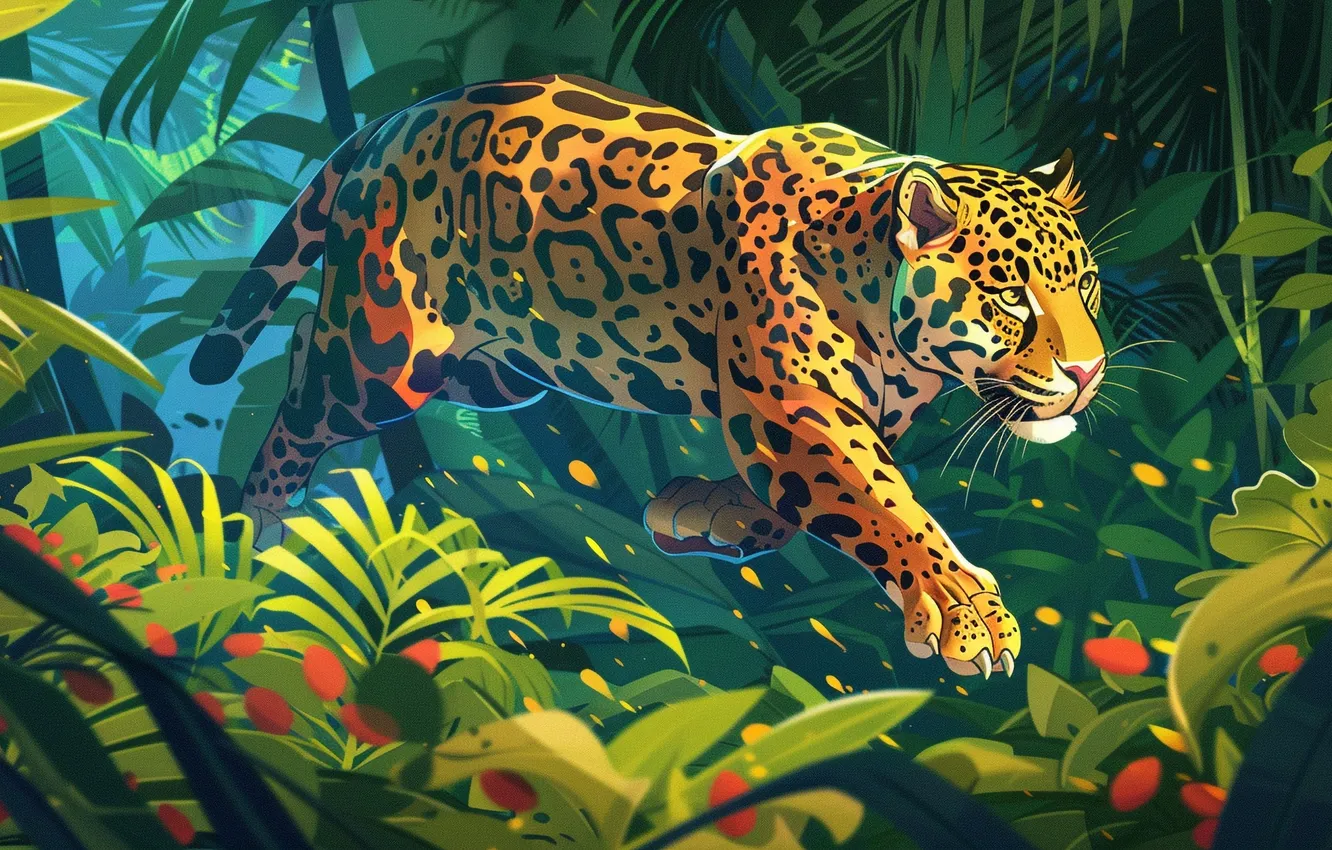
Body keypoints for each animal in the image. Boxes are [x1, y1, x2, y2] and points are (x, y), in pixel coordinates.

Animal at [191, 74, 1108, 678]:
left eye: (1086, 284)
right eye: (1012, 296)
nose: (1090, 367)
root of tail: (392, 120)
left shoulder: (832, 416)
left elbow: (817, 494)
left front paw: (713, 512)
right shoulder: (799, 410)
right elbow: (884, 507)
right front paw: (964, 612)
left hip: (503, 368)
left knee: (311, 339)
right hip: (391, 352)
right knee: (309, 379)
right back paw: (258, 528)